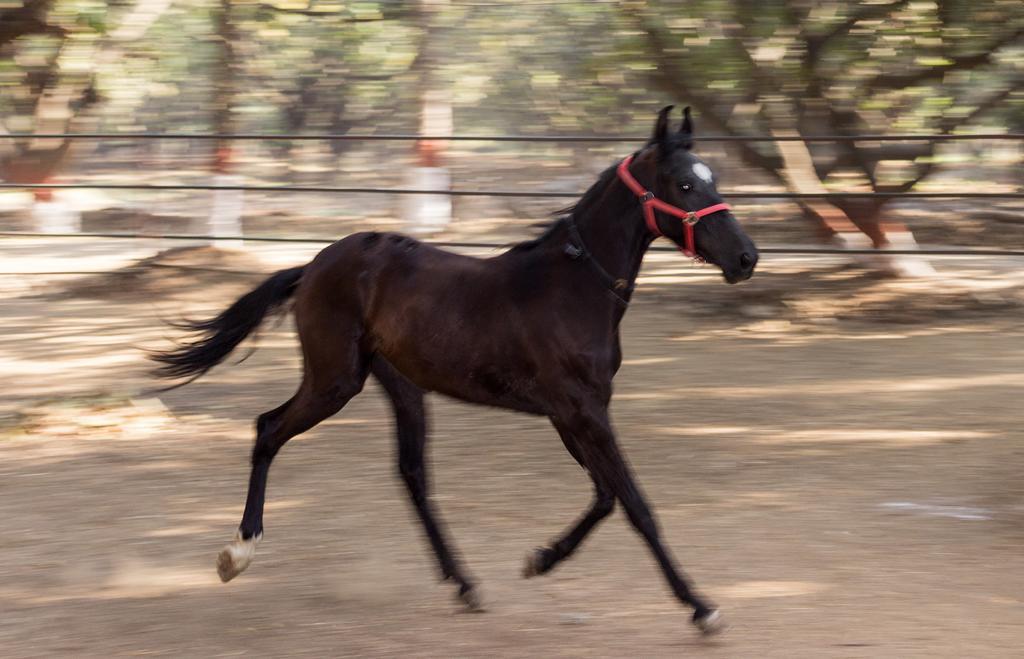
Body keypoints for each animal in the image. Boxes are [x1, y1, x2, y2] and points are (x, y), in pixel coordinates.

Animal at [153, 105, 761, 634]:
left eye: (713, 177)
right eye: (685, 185)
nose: (747, 257)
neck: (573, 289)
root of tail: (316, 264)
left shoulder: (572, 414)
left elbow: (606, 497)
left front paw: (540, 559)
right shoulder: (581, 410)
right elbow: (636, 504)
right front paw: (701, 607)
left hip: (400, 387)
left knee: (412, 474)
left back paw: (465, 584)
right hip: (335, 380)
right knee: (269, 429)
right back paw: (239, 550)